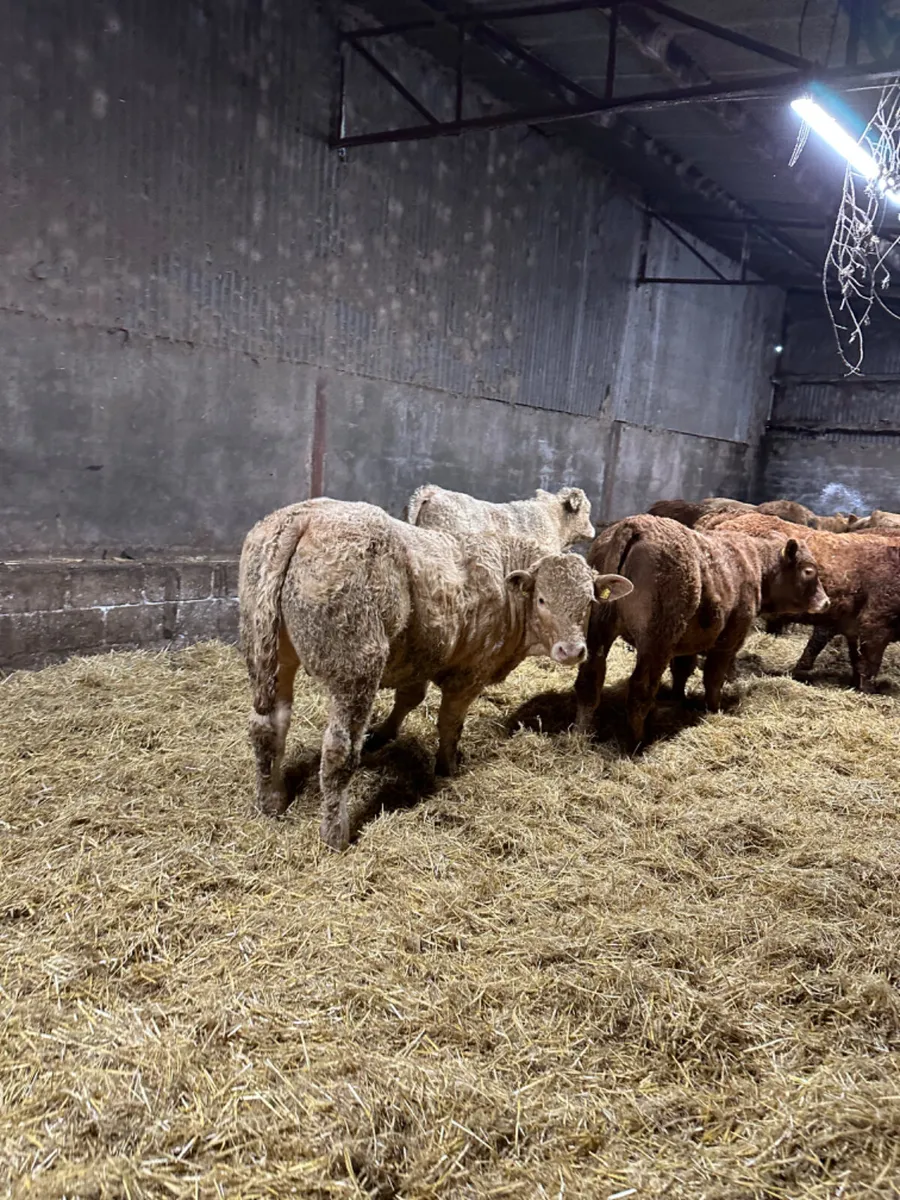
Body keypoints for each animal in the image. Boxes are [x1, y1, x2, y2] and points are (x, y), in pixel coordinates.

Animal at [239, 499, 632, 851]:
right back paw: (336, 835)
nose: (573, 651)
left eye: (589, 602)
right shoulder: (469, 673)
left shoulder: (420, 659)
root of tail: (305, 516)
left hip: (266, 653)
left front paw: (383, 734)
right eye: (542, 600)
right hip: (355, 668)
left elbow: (409, 698)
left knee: (268, 727)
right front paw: (447, 766)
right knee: (338, 752)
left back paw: (270, 801)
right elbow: (449, 723)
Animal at [573, 515, 829, 746]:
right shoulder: (727, 643)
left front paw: (678, 699)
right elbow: (713, 679)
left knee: (590, 680)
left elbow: (683, 670)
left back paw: (582, 734)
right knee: (640, 690)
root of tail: (635, 525)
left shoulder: (689, 642)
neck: (754, 563)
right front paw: (713, 709)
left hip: (598, 632)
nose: (826, 602)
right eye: (808, 570)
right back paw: (638, 741)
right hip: (656, 642)